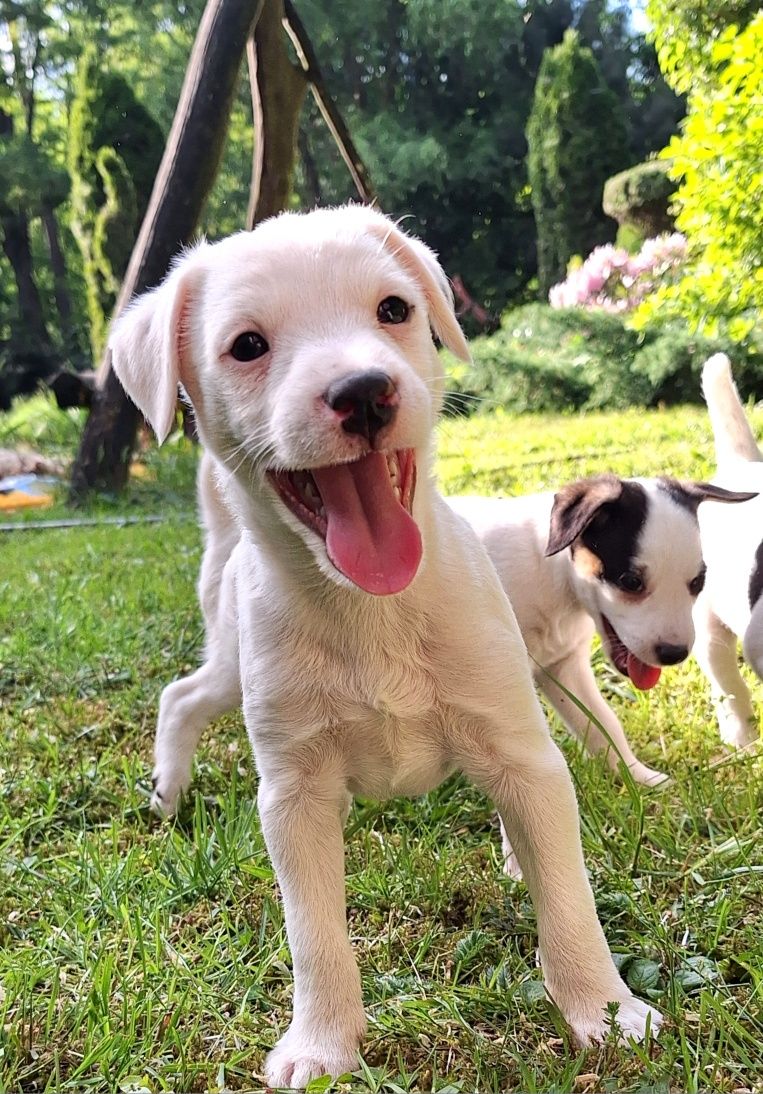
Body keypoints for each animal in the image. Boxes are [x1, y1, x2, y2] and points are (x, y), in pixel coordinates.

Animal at [108, 203, 661, 1085]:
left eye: (393, 310)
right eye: (247, 345)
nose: (363, 392)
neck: (372, 613)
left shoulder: (520, 748)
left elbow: (568, 896)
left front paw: (604, 1011)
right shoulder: (293, 795)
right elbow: (313, 933)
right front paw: (321, 1043)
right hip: (235, 668)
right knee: (182, 696)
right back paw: (168, 790)